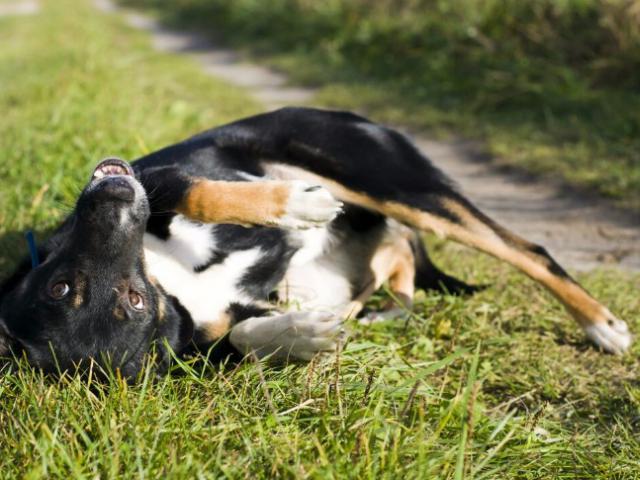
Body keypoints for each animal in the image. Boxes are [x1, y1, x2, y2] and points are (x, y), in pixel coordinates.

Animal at [0, 107, 632, 376]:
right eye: (63, 288)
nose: (108, 199)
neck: (167, 283)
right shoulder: (201, 332)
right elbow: (241, 338)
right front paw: (301, 337)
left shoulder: (160, 178)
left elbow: (198, 193)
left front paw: (293, 206)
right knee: (400, 274)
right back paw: (375, 312)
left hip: (390, 180)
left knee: (528, 251)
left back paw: (602, 325)